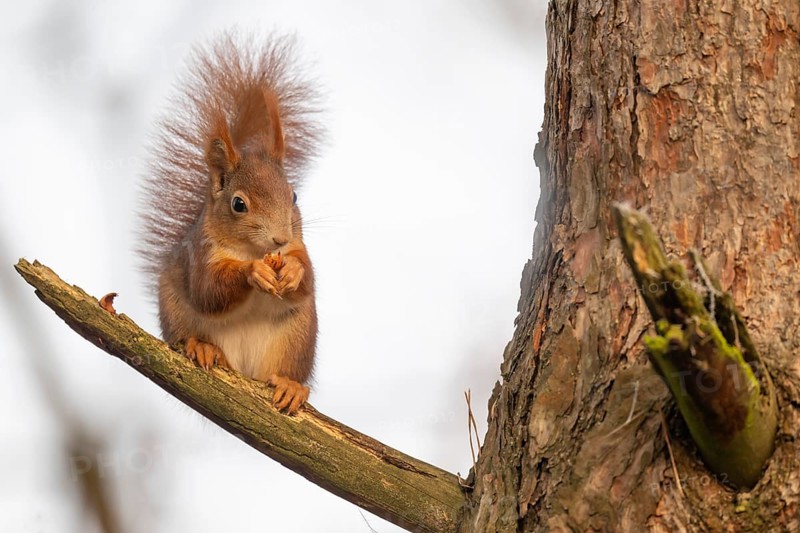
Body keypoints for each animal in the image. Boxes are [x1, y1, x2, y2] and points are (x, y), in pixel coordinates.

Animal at [139, 32, 323, 414]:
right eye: (239, 204)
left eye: (294, 195)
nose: (279, 239)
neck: (251, 249)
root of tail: (245, 369)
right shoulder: (200, 254)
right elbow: (210, 291)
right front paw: (253, 272)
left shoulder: (299, 245)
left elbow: (308, 279)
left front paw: (293, 271)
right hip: (178, 316)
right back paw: (203, 347)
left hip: (295, 339)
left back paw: (290, 386)